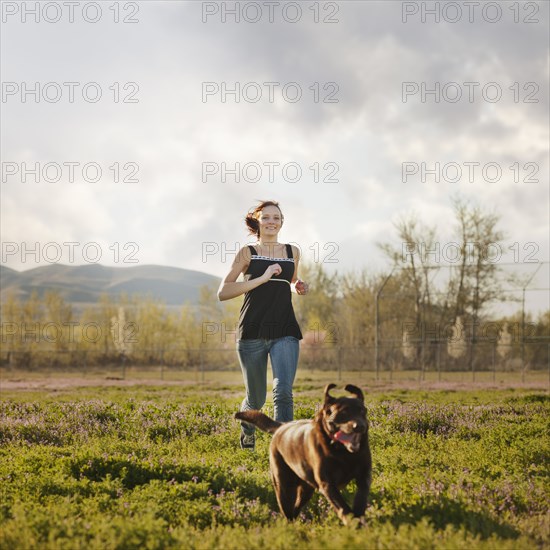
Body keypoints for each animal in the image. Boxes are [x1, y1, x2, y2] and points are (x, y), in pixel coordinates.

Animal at [235, 384, 374, 528]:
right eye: (344, 412)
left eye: (363, 411)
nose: (360, 426)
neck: (343, 452)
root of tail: (281, 427)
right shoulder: (327, 483)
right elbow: (342, 506)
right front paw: (351, 520)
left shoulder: (364, 476)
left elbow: (361, 498)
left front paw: (359, 518)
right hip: (284, 485)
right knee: (288, 510)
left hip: (306, 489)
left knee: (296, 507)